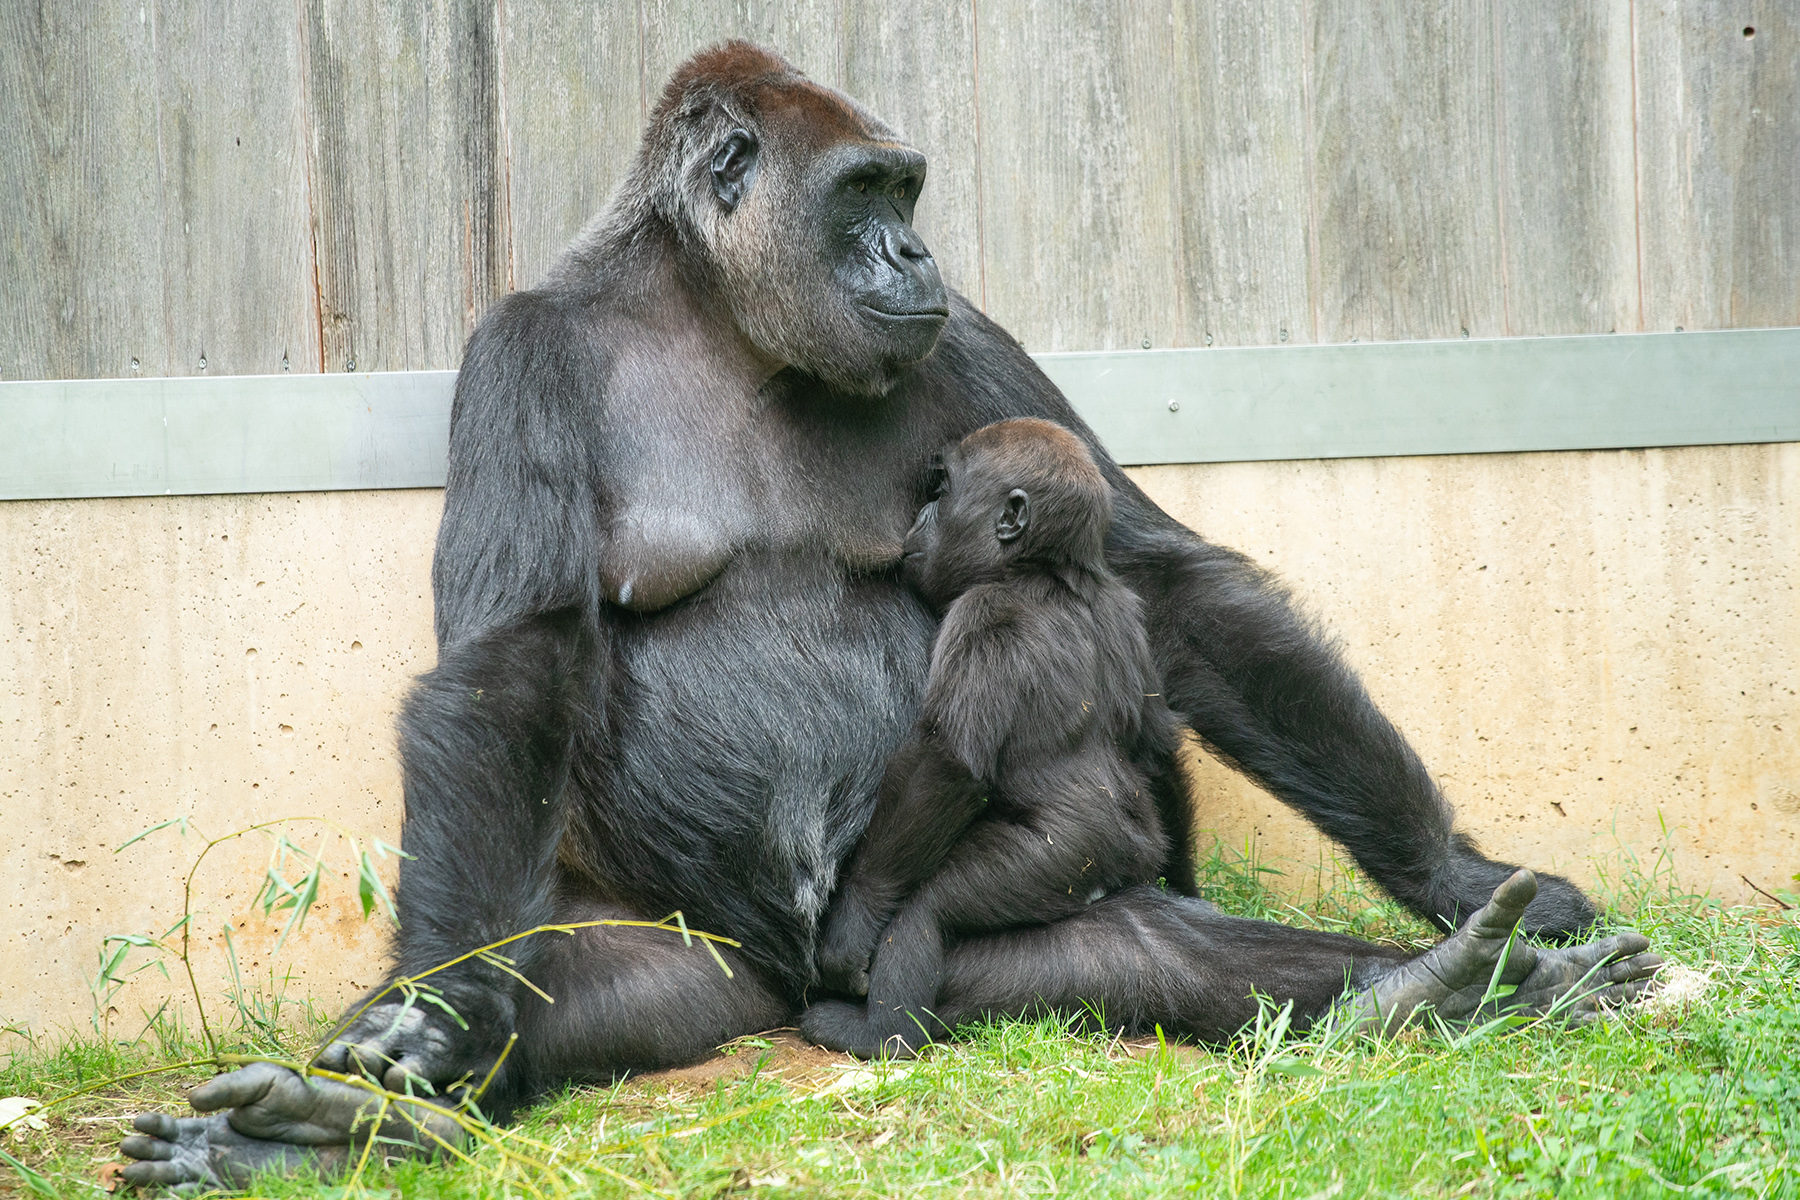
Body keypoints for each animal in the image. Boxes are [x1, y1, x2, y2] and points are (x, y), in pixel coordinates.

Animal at [802, 417, 1195, 1057]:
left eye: (942, 493)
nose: (919, 517)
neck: (1044, 570)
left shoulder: (982, 613)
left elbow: (945, 764)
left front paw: (855, 920)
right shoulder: (1127, 611)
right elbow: (1157, 743)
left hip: (1061, 859)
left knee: (926, 910)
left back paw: (881, 1031)